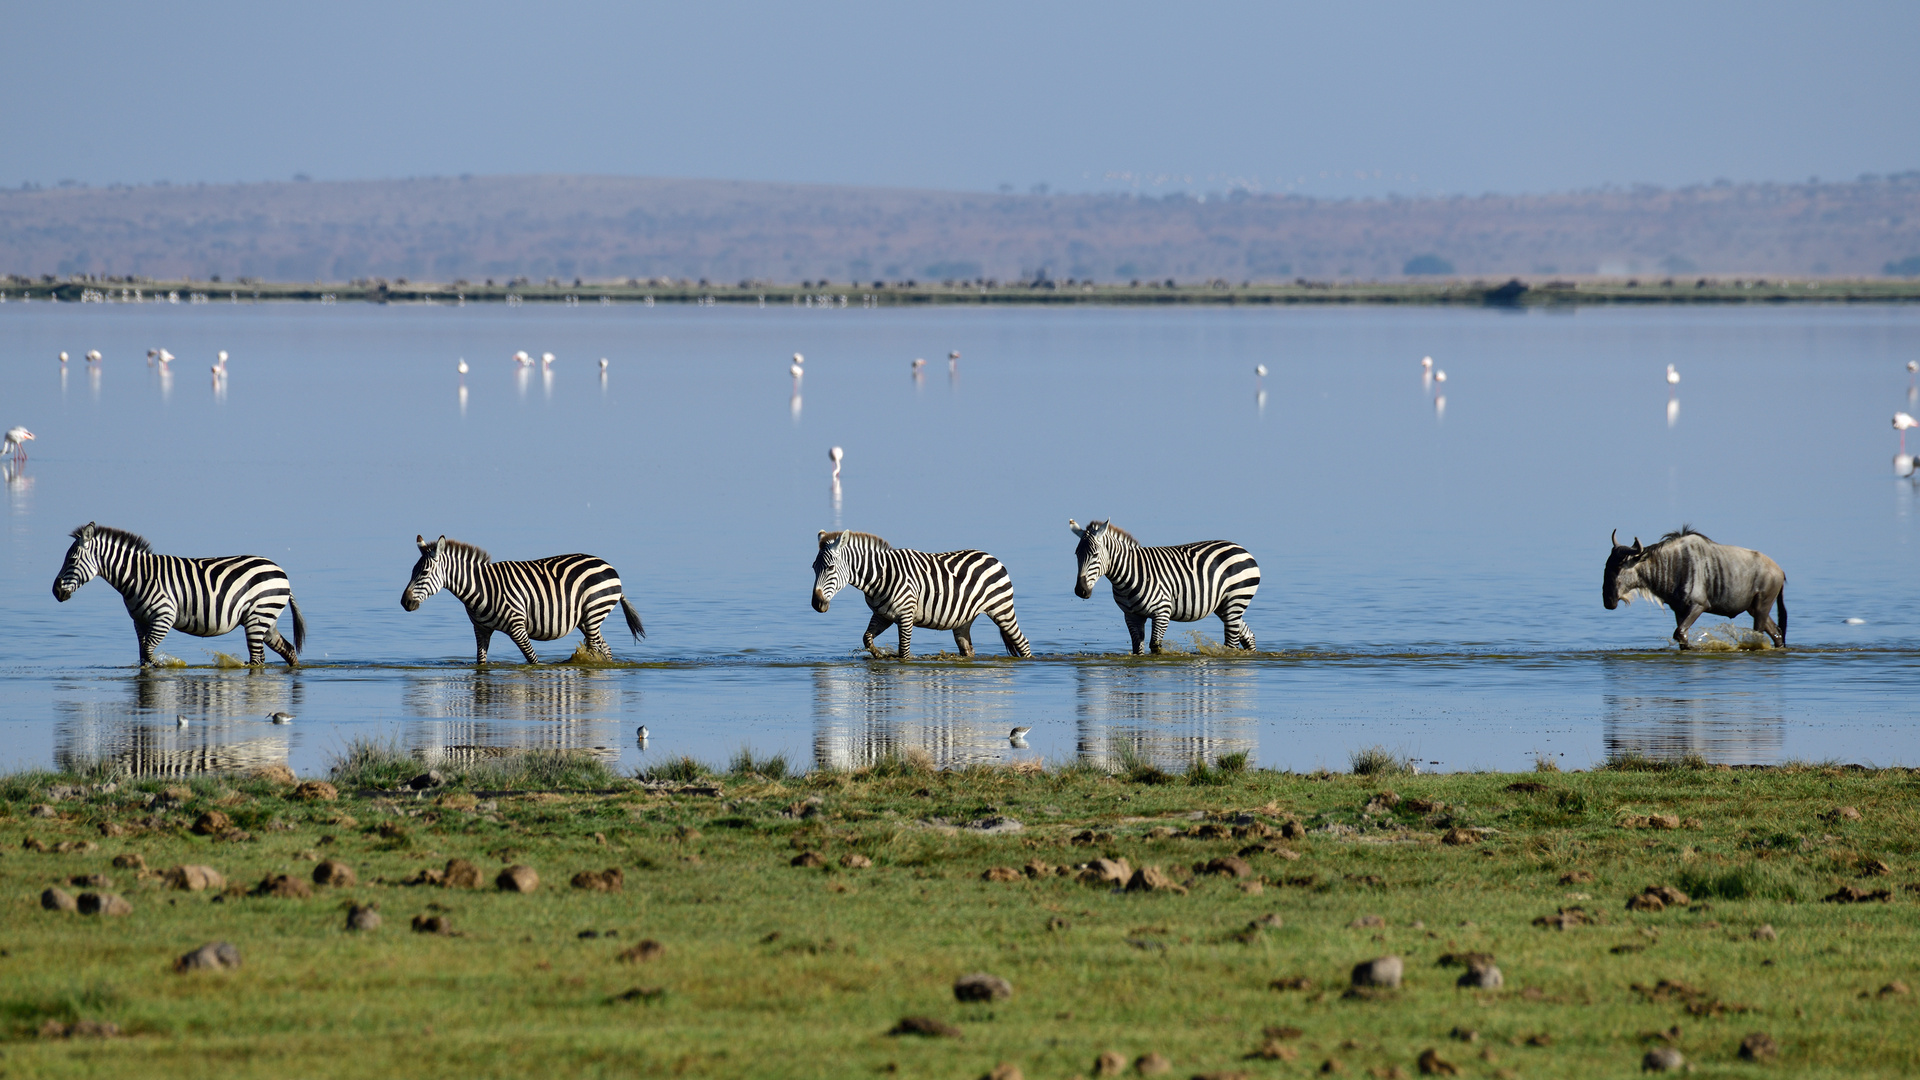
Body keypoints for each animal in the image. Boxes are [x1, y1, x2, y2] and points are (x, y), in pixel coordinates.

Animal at [50, 522, 305, 664]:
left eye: (72, 559)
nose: (55, 591)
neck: (137, 577)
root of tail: (280, 571)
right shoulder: (139, 621)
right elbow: (143, 654)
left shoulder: (164, 616)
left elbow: (149, 651)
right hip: (265, 620)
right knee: (287, 650)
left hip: (258, 617)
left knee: (258, 659)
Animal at [401, 530, 648, 661]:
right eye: (411, 571)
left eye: (423, 573)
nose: (404, 602)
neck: (481, 588)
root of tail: (609, 566)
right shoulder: (481, 629)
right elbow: (481, 662)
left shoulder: (517, 627)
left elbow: (533, 660)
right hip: (585, 620)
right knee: (605, 648)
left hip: (594, 612)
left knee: (596, 648)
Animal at [810, 526, 1036, 657]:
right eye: (813, 567)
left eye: (830, 568)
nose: (816, 603)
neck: (880, 577)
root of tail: (992, 557)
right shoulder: (883, 615)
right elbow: (867, 639)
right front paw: (880, 656)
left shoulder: (905, 616)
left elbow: (904, 653)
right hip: (964, 619)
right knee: (968, 650)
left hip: (1001, 609)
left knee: (1023, 643)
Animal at [1067, 518, 1259, 653]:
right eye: (1076, 554)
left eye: (1095, 555)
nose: (1080, 591)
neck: (1130, 573)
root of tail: (1240, 548)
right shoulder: (1132, 615)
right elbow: (1137, 649)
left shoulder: (1162, 612)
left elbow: (1155, 646)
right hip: (1224, 606)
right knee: (1247, 635)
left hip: (1236, 599)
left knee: (1232, 643)